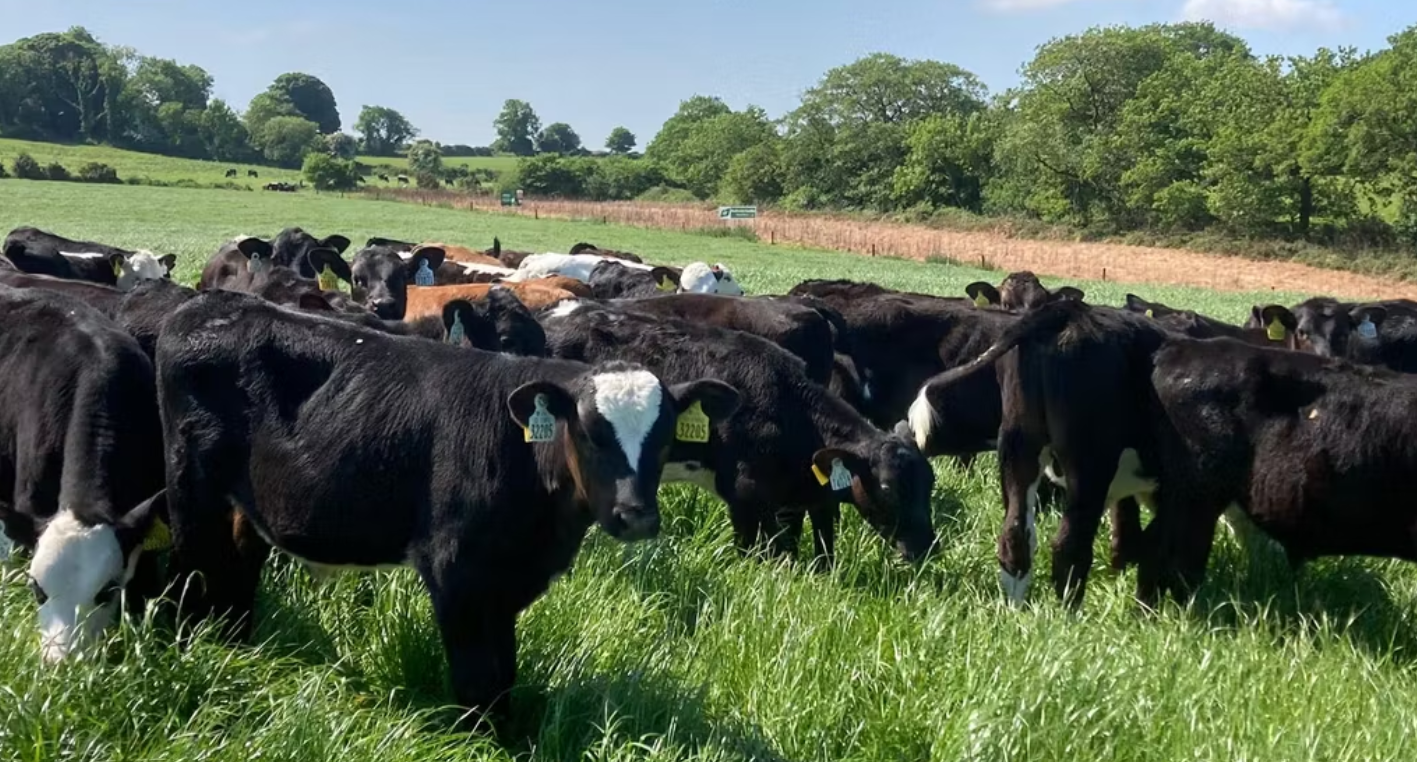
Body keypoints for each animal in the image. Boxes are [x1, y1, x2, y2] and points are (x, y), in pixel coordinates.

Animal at [154, 289, 738, 725]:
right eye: (592, 433)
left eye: (664, 439)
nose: (636, 516)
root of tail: (208, 303)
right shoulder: (453, 571)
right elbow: (477, 678)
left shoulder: (507, 579)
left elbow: (504, 674)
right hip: (189, 487)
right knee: (193, 567)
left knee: (238, 563)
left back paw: (237, 643)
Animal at [540, 302, 936, 566]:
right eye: (887, 487)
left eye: (928, 484)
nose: (926, 547)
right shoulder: (744, 497)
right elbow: (754, 554)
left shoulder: (792, 501)